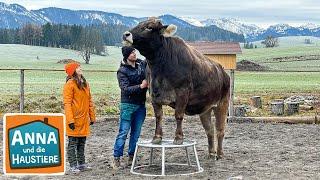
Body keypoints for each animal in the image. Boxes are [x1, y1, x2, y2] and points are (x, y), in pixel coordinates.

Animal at [122, 17, 230, 159]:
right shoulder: (154, 94)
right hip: (205, 108)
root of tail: (223, 71)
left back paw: (220, 154)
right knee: (210, 130)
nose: (126, 34)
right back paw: (211, 153)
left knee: (220, 130)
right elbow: (158, 116)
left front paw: (178, 138)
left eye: (149, 27)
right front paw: (157, 138)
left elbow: (178, 115)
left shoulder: (182, 93)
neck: (160, 68)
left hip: (222, 103)